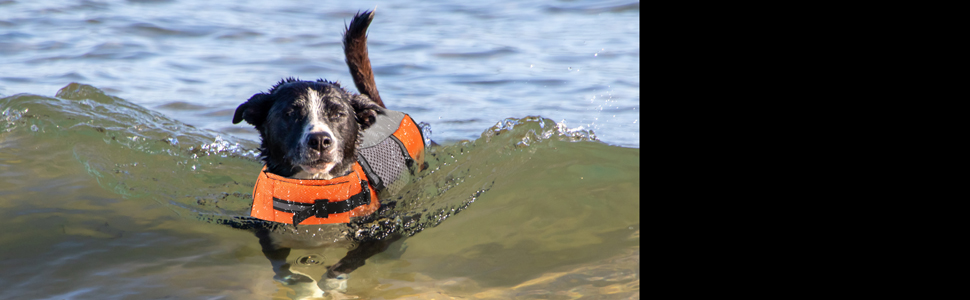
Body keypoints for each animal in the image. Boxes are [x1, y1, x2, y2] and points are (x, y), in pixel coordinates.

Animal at [229, 9, 426, 292]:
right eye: (290, 113)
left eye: (338, 114)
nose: (320, 140)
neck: (315, 192)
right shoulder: (267, 236)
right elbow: (283, 269)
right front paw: (307, 289)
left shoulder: (380, 232)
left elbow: (346, 263)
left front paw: (332, 286)